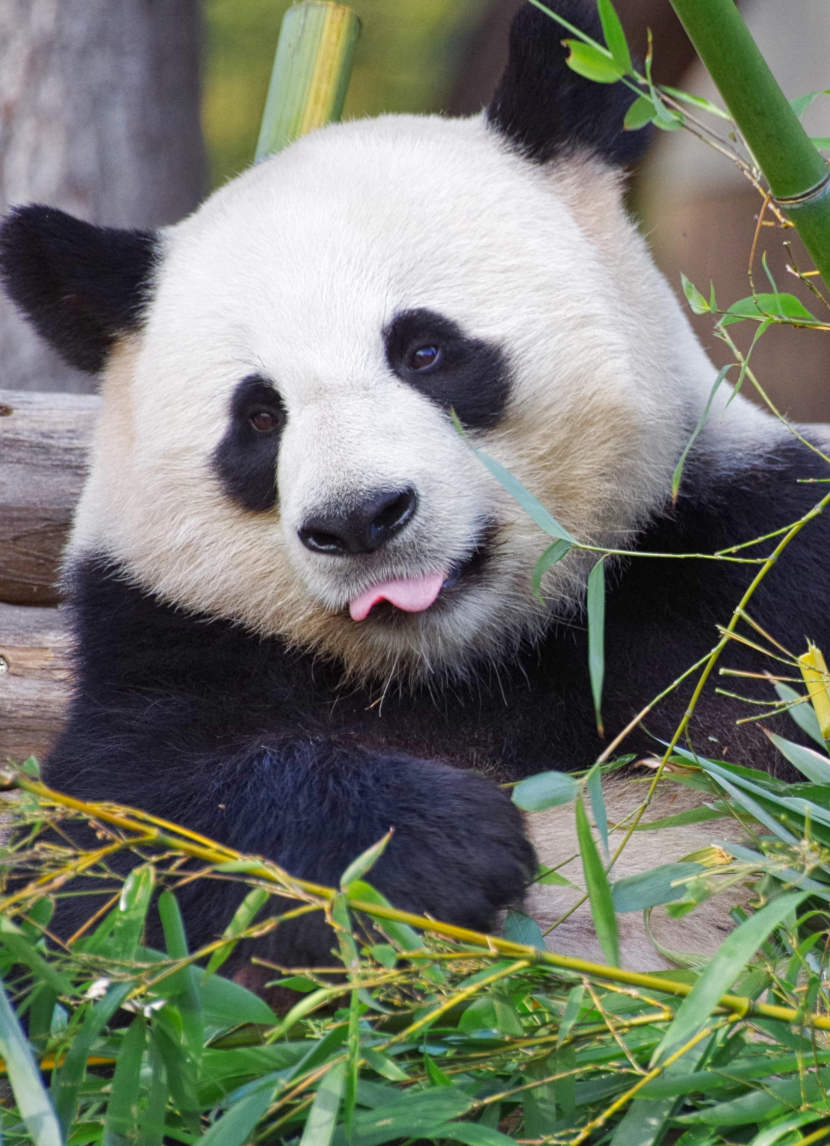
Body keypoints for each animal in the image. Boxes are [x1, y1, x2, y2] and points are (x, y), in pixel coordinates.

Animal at [1, 0, 829, 971]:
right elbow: (111, 864)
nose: (360, 520)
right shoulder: (172, 644)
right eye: (260, 417)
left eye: (425, 351)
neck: (465, 665)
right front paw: (444, 838)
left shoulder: (743, 564)